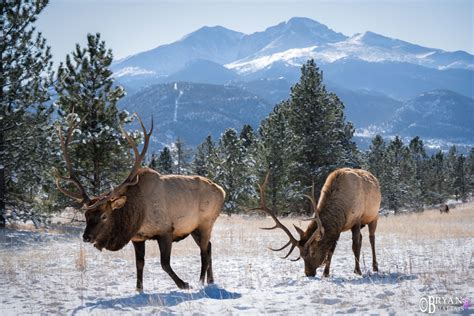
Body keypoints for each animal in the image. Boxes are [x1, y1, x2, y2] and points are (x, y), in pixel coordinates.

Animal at [55, 114, 226, 292]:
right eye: (86, 214)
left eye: (104, 216)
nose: (86, 237)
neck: (136, 215)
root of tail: (222, 191)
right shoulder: (137, 238)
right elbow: (139, 264)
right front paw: (139, 289)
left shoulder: (165, 230)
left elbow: (164, 263)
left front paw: (184, 284)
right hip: (193, 228)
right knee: (209, 247)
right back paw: (211, 280)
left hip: (206, 223)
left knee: (204, 252)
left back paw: (200, 282)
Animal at [252, 168, 382, 276]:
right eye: (301, 255)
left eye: (313, 252)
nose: (308, 273)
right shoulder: (337, 228)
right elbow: (331, 249)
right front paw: (326, 273)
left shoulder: (357, 220)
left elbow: (355, 246)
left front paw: (357, 271)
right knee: (362, 237)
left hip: (374, 216)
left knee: (371, 238)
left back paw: (375, 267)